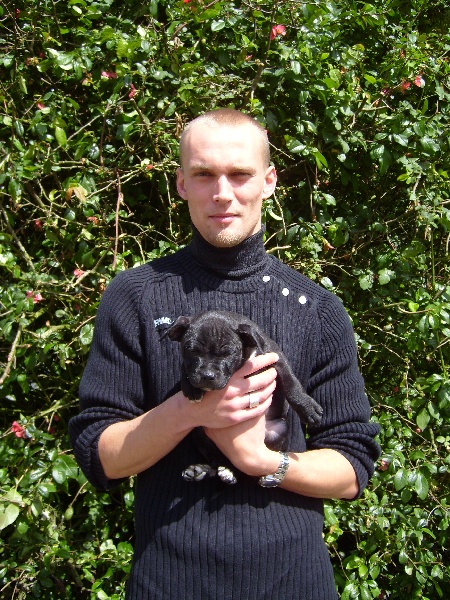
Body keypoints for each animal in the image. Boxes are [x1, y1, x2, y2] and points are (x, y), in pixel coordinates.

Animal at [166, 310, 323, 484]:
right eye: (191, 350)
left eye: (228, 354)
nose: (207, 375)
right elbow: (184, 367)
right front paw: (190, 388)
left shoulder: (277, 357)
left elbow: (291, 382)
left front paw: (307, 408)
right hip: (200, 434)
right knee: (219, 459)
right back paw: (203, 470)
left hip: (280, 429)